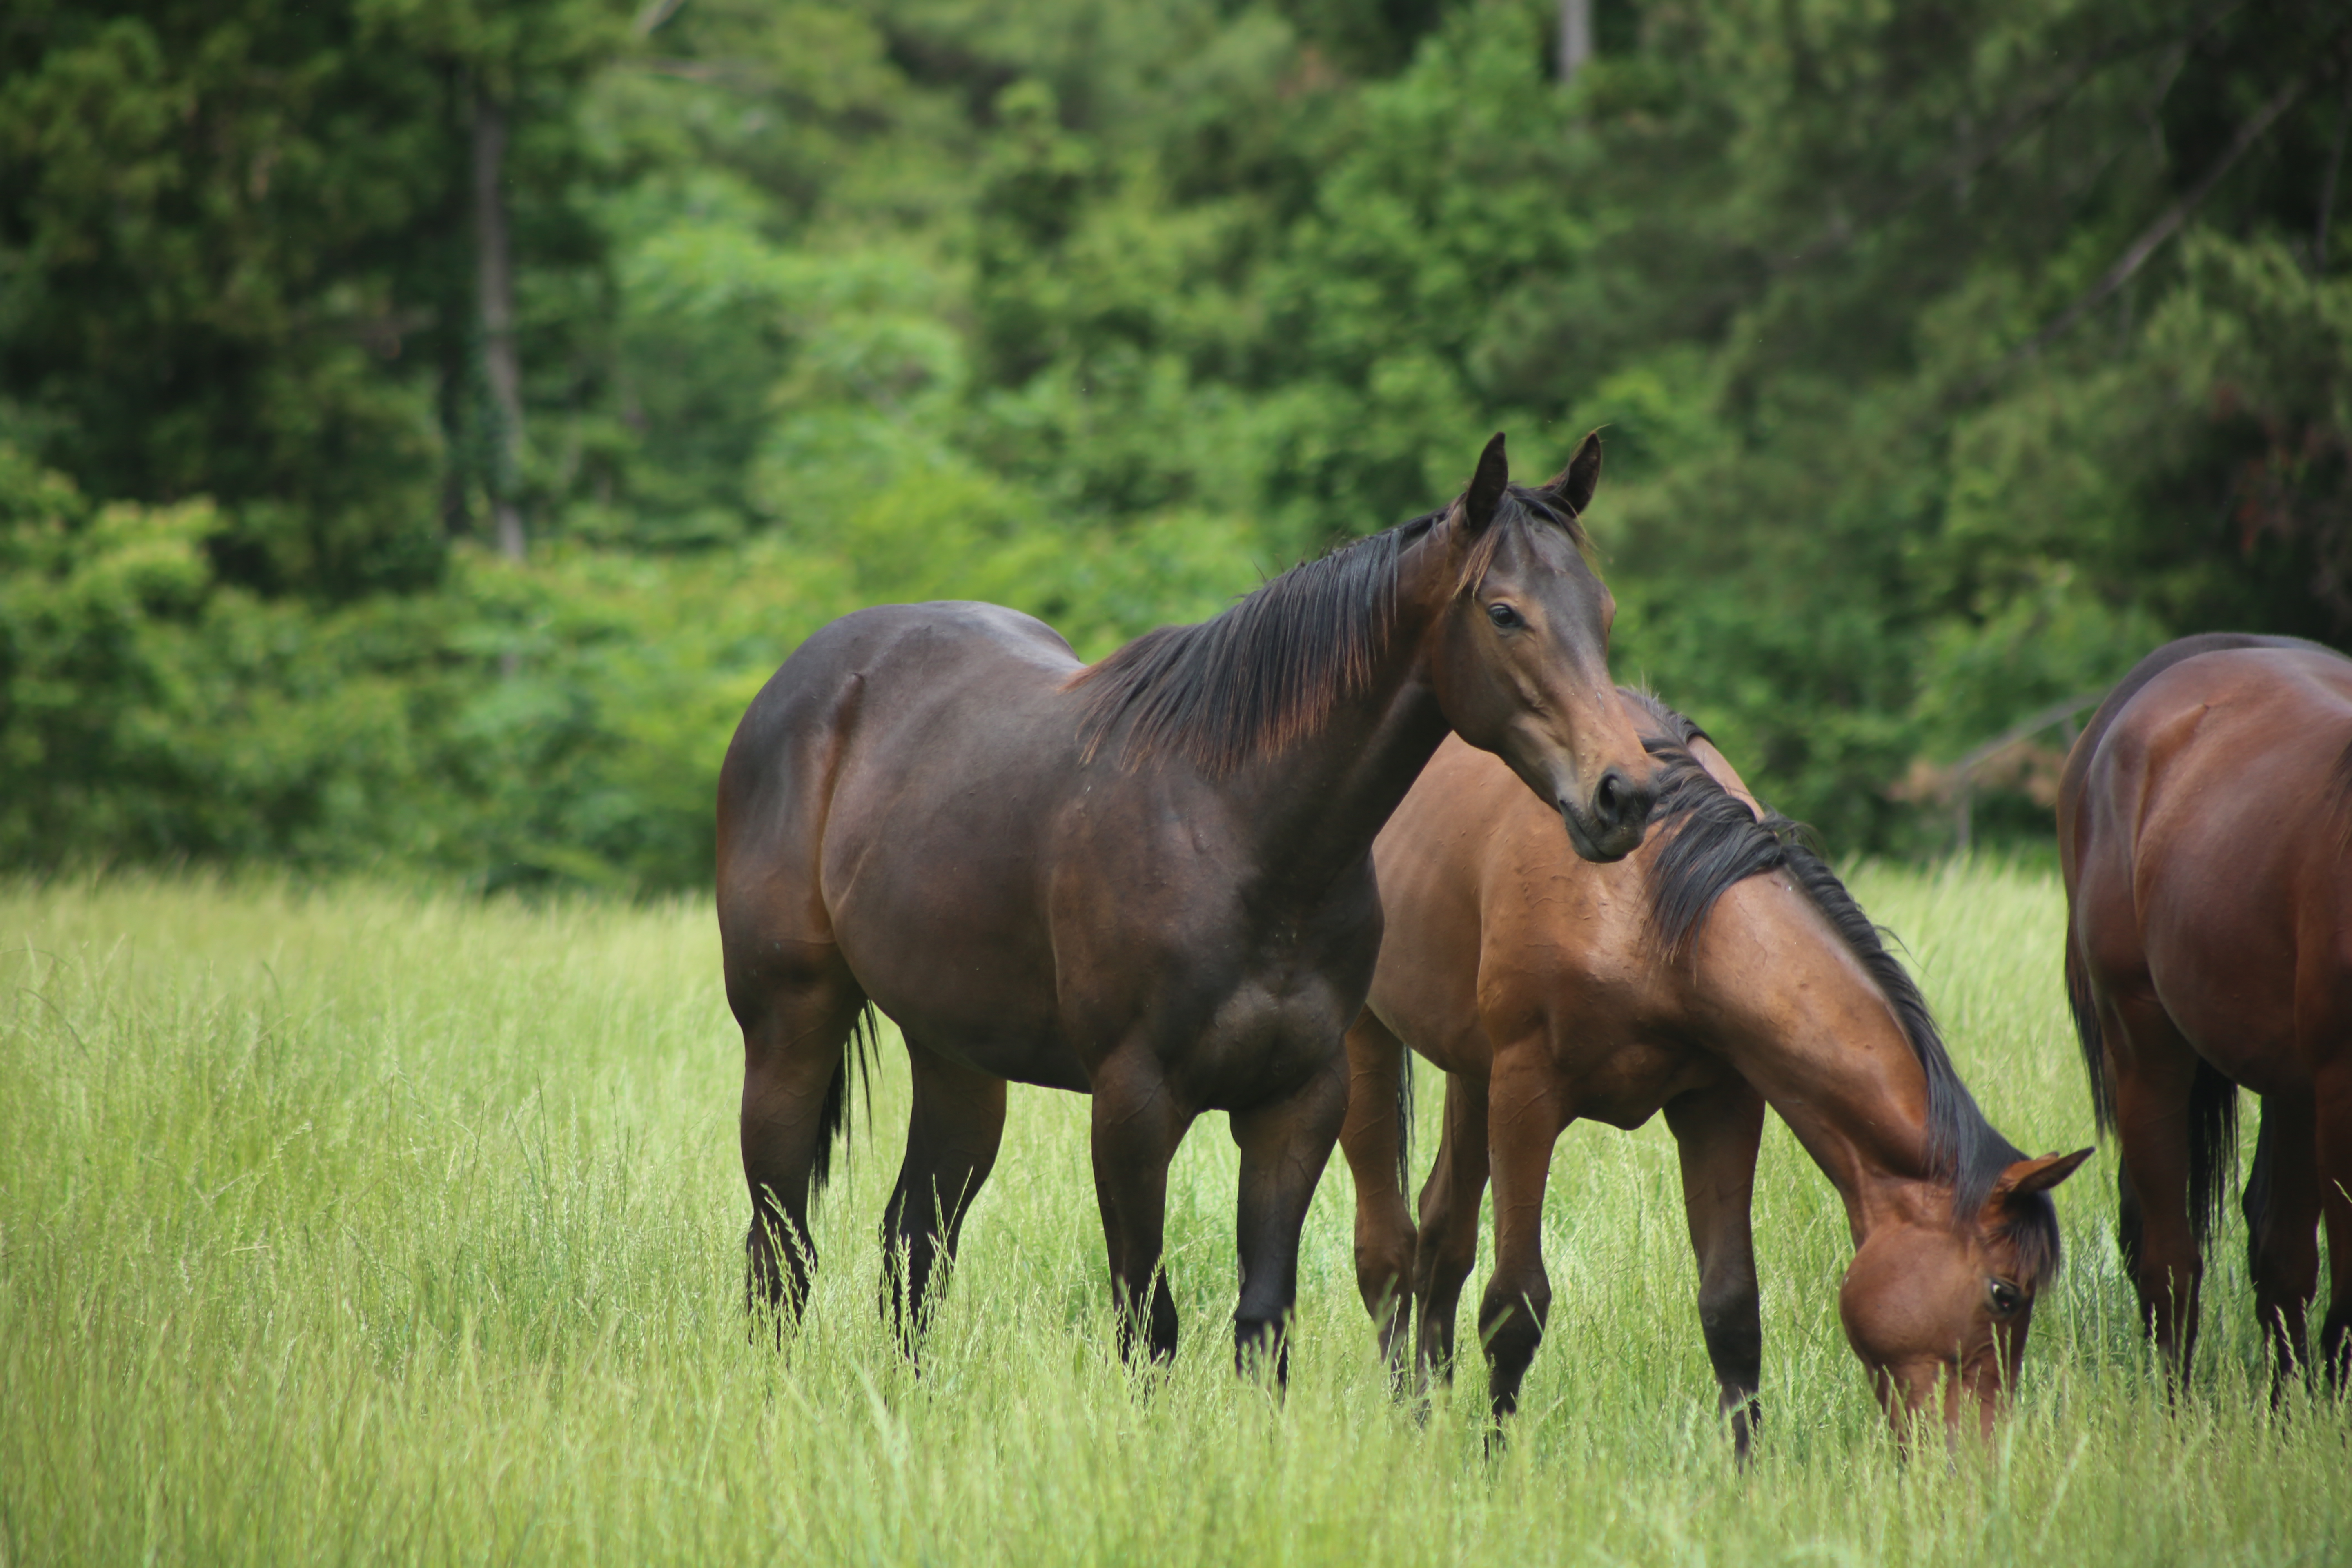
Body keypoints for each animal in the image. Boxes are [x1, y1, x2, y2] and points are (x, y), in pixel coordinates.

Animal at [710, 435, 1656, 1382]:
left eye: (1603, 611)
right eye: (1504, 613)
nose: (1624, 795)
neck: (1240, 830)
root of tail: (808, 680)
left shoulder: (1298, 1101)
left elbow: (1264, 1322)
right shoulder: (1133, 1104)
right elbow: (1147, 1319)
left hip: (957, 1057)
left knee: (912, 1243)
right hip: (791, 1026)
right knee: (781, 1248)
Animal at [1336, 691, 2088, 1457]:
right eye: (2005, 1294)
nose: (1985, 1459)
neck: (1650, 900)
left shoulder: (1722, 1102)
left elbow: (1731, 1310)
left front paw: (1747, 1471)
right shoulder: (1527, 1093)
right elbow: (1517, 1304)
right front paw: (1494, 1465)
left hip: (1471, 1070)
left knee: (1443, 1234)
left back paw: (1427, 1414)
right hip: (1373, 1039)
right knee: (1389, 1251)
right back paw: (1403, 1419)